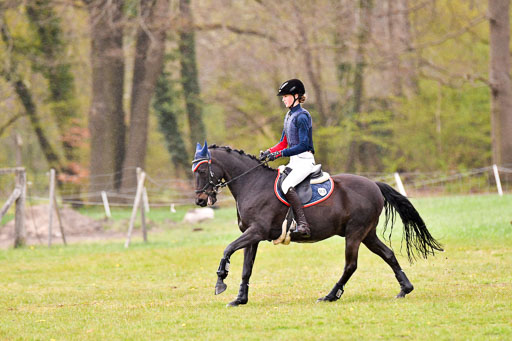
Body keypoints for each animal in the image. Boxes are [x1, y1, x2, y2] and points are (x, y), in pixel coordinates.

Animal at [192, 142, 444, 306]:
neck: (252, 183)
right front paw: (240, 299)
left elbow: (228, 249)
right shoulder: (252, 236)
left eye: (203, 169)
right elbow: (247, 268)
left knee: (350, 265)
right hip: (367, 234)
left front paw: (220, 282)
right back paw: (405, 289)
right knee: (388, 254)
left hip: (355, 233)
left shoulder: (257, 231)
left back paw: (331, 295)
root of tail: (373, 184)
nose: (200, 200)